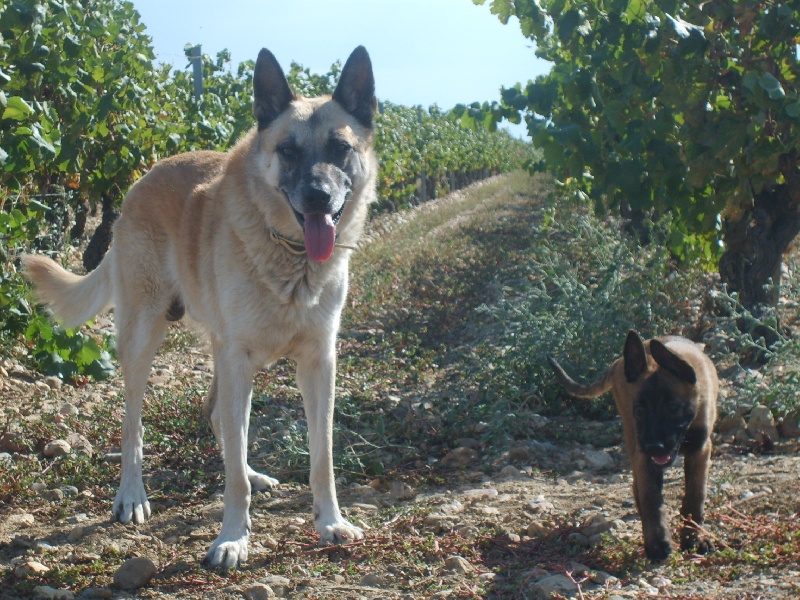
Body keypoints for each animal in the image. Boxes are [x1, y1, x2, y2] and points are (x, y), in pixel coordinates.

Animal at [22, 45, 378, 568]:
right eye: (288, 151)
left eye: (340, 148)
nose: (318, 197)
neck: (289, 256)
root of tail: (141, 180)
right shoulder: (239, 358)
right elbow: (232, 476)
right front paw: (232, 537)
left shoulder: (318, 361)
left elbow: (322, 457)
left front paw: (330, 522)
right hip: (145, 339)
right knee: (133, 426)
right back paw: (132, 495)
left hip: (222, 351)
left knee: (216, 415)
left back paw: (250, 471)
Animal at [552, 330, 720, 560]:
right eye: (640, 410)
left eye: (674, 407)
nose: (654, 447)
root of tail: (618, 362)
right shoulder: (644, 457)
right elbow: (651, 499)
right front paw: (658, 544)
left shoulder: (700, 450)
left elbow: (695, 497)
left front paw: (695, 539)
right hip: (633, 440)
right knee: (638, 487)